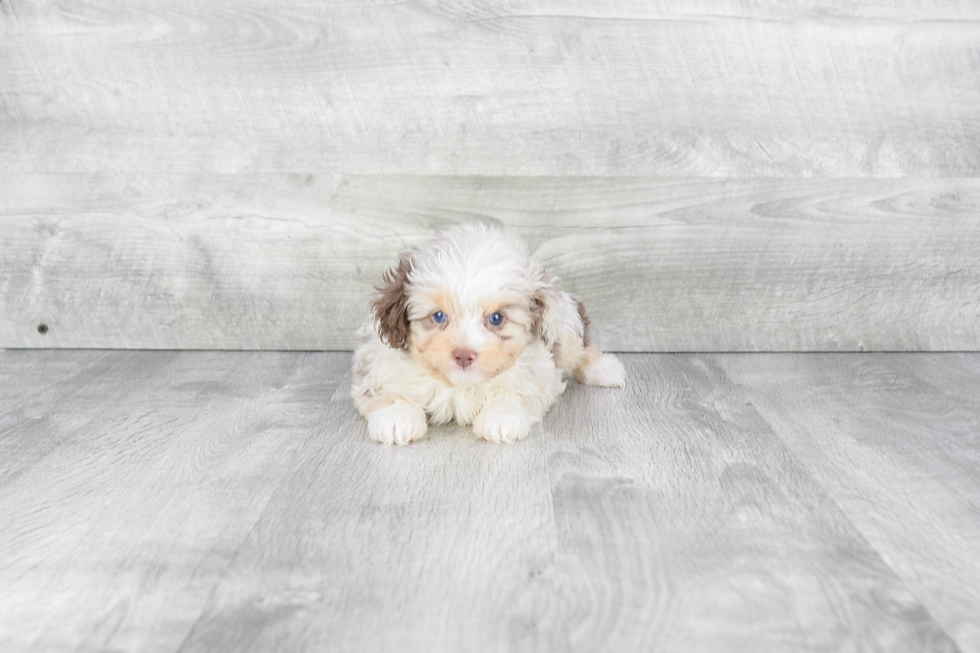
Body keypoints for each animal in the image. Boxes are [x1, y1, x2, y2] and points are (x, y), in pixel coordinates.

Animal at [352, 224, 628, 444]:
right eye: (438, 316)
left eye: (496, 318)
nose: (464, 355)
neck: (460, 385)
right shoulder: (378, 365)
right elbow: (387, 392)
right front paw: (396, 418)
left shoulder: (537, 371)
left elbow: (519, 391)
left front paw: (501, 417)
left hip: (566, 324)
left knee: (580, 348)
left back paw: (604, 368)